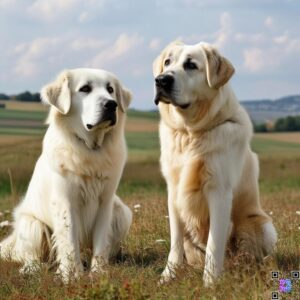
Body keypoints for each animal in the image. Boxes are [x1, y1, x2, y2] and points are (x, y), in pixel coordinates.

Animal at [0, 68, 132, 282]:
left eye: (110, 89)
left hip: (123, 213)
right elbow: (69, 241)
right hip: (32, 223)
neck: (90, 148)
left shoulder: (106, 201)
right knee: (30, 256)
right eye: (85, 89)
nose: (111, 104)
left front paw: (98, 273)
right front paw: (71, 275)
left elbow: (101, 241)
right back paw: (33, 268)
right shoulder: (65, 201)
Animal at [154, 41, 278, 286]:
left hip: (262, 226)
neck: (190, 133)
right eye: (167, 62)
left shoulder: (219, 191)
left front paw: (210, 283)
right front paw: (167, 276)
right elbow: (175, 243)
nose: (161, 80)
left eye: (191, 65)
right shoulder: (173, 191)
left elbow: (214, 243)